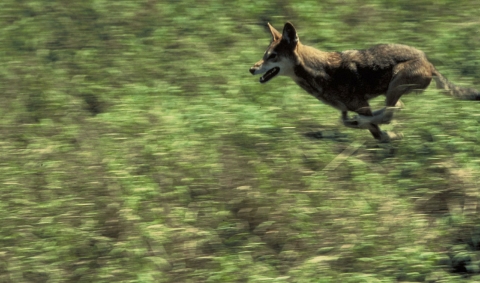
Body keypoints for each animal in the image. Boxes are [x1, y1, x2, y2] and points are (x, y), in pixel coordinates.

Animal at [249, 21, 478, 142]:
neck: (321, 72)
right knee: (394, 108)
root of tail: (429, 63)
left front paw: (386, 134)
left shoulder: (361, 105)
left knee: (390, 112)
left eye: (272, 57)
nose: (251, 69)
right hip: (392, 90)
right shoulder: (349, 107)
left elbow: (376, 131)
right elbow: (347, 121)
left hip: (396, 81)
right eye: (264, 55)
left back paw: (367, 121)